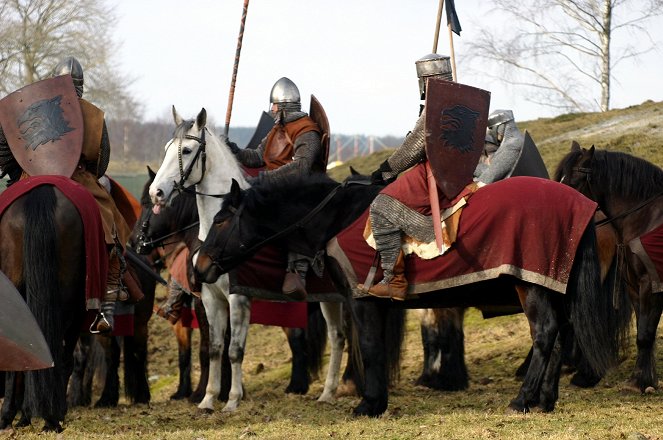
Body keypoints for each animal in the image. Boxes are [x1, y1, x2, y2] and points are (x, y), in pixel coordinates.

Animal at [149, 107, 348, 412]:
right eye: (167, 149)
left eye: (187, 150)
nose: (156, 192)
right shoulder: (211, 298)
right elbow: (216, 348)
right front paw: (208, 399)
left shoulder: (238, 298)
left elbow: (235, 350)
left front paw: (232, 401)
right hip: (329, 297)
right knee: (338, 337)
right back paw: (327, 392)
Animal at [195, 174, 632, 416]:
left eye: (222, 220)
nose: (199, 267)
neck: (336, 218)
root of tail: (585, 206)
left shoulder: (361, 300)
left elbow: (370, 347)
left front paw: (370, 404)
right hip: (550, 285)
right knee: (558, 337)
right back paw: (544, 401)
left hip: (531, 285)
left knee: (545, 334)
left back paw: (522, 400)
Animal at [556, 144, 663, 392]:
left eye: (575, 181)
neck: (644, 218)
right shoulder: (634, 287)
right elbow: (644, 332)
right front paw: (642, 379)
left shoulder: (649, 285)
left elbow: (645, 334)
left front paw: (641, 382)